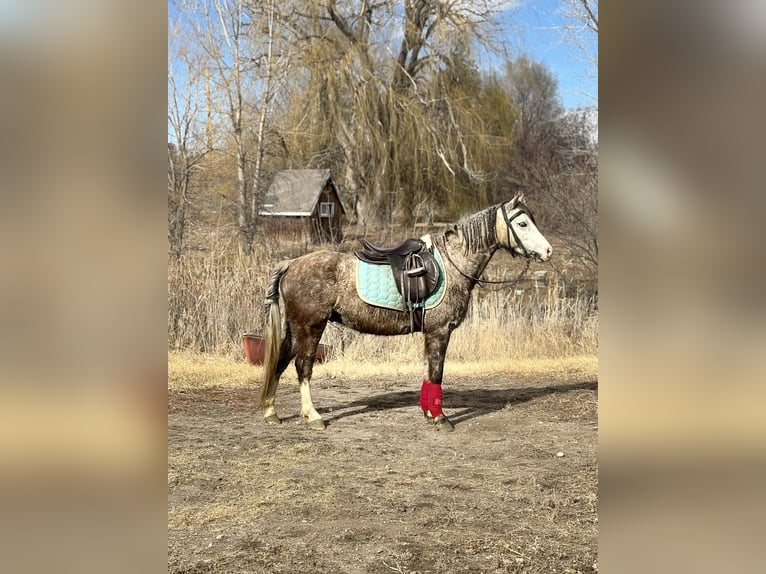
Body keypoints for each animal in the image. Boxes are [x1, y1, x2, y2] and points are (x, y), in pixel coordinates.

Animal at [259, 194, 552, 431]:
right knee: (303, 366)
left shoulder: (432, 333)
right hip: (311, 326)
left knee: (280, 361)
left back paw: (271, 412)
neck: (452, 264)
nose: (548, 251)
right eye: (522, 224)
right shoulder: (440, 331)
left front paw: (429, 412)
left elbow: (428, 371)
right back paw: (313, 416)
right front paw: (440, 418)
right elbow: (436, 372)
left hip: (294, 327)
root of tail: (291, 263)